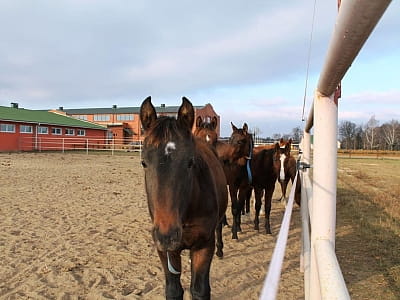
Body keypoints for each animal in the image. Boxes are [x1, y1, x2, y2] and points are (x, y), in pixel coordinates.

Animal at [141, 96, 228, 300]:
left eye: (190, 162)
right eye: (144, 163)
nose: (167, 235)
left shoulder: (204, 245)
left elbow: (199, 289)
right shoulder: (166, 251)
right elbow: (174, 290)